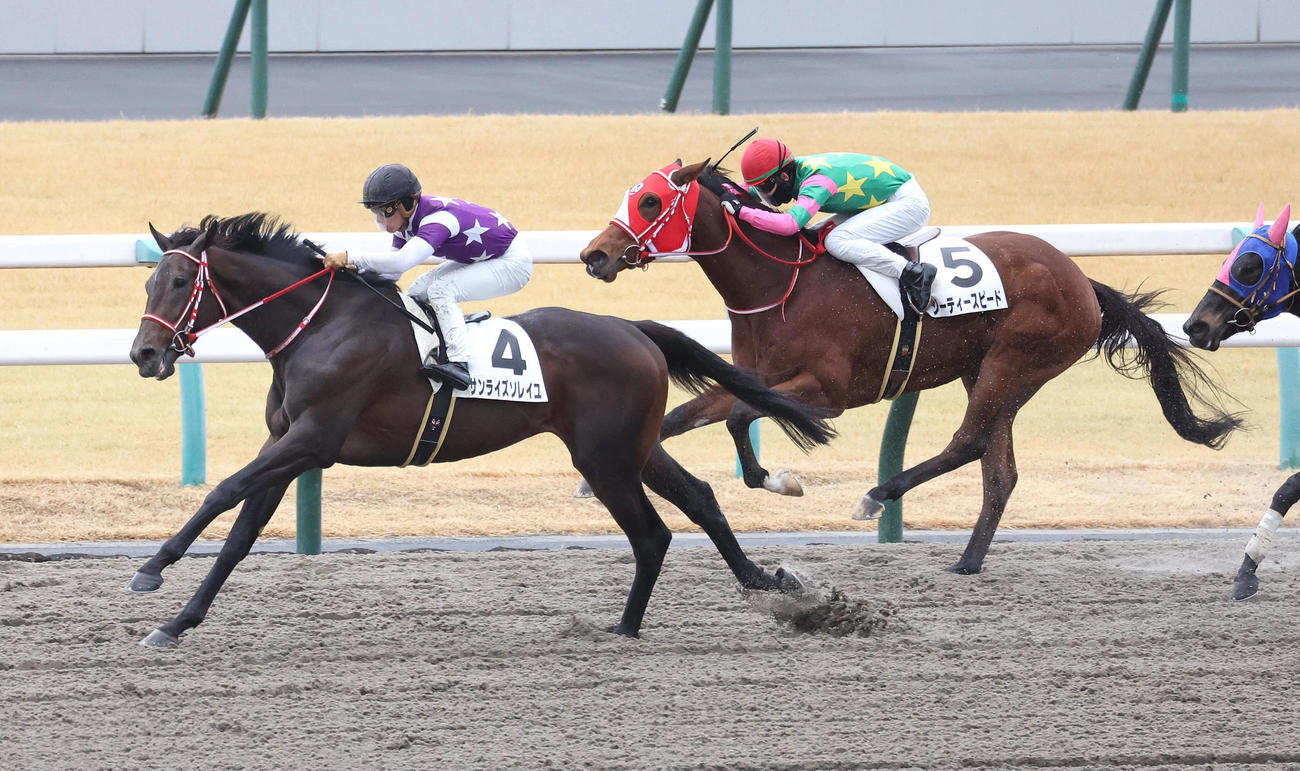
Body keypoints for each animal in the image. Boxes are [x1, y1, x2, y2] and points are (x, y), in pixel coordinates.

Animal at [126, 212, 836, 647]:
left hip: (603, 459)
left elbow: (223, 491)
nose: (144, 354)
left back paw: (627, 628)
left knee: (652, 533)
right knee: (699, 500)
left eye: (182, 280)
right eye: (149, 279)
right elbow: (240, 535)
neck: (321, 326)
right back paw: (766, 587)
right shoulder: (287, 445)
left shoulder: (312, 439)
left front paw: (152, 570)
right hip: (631, 447)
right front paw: (177, 622)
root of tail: (634, 329)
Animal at [580, 160, 1243, 575]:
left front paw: (780, 479)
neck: (779, 283)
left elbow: (740, 418)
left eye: (650, 200)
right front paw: (600, 474)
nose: (594, 255)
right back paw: (967, 561)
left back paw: (878, 496)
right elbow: (692, 414)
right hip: (989, 370)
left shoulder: (828, 390)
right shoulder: (761, 377)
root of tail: (1082, 279)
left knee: (968, 441)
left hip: (1016, 363)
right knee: (999, 469)